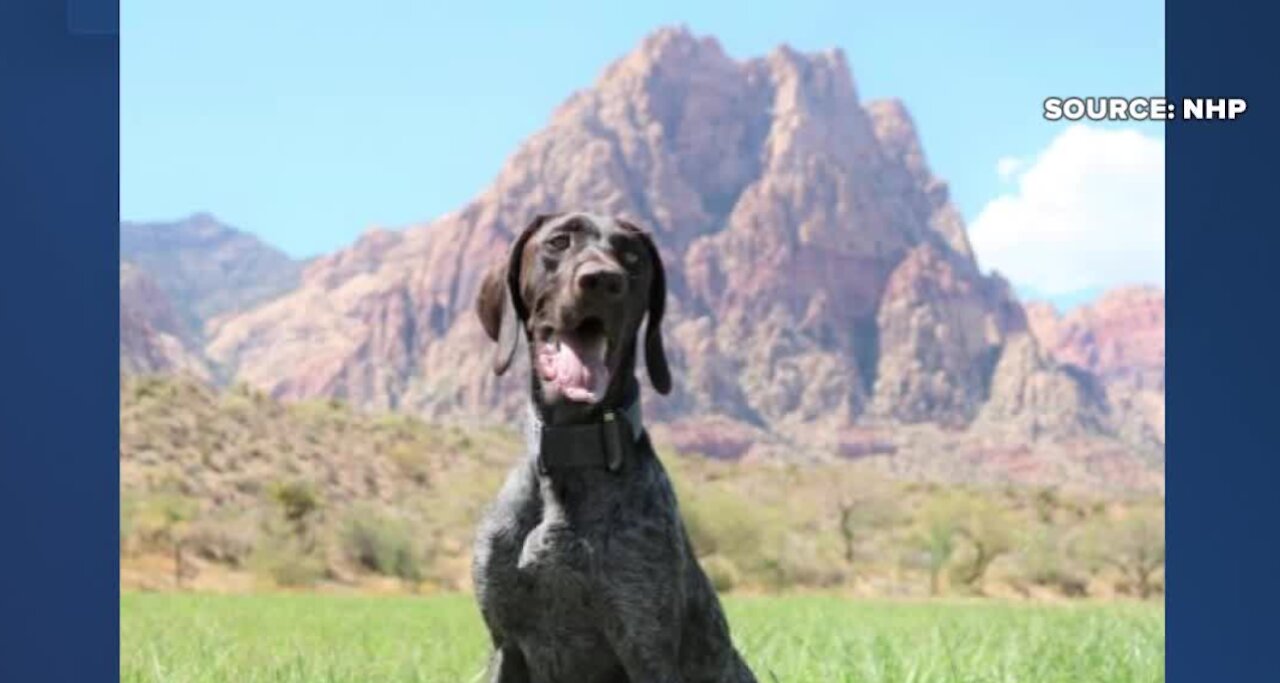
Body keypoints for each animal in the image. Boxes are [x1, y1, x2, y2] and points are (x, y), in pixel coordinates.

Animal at [471, 214, 752, 683]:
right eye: (559, 242)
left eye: (632, 256)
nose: (603, 280)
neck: (573, 449)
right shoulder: (504, 645)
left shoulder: (644, 646)